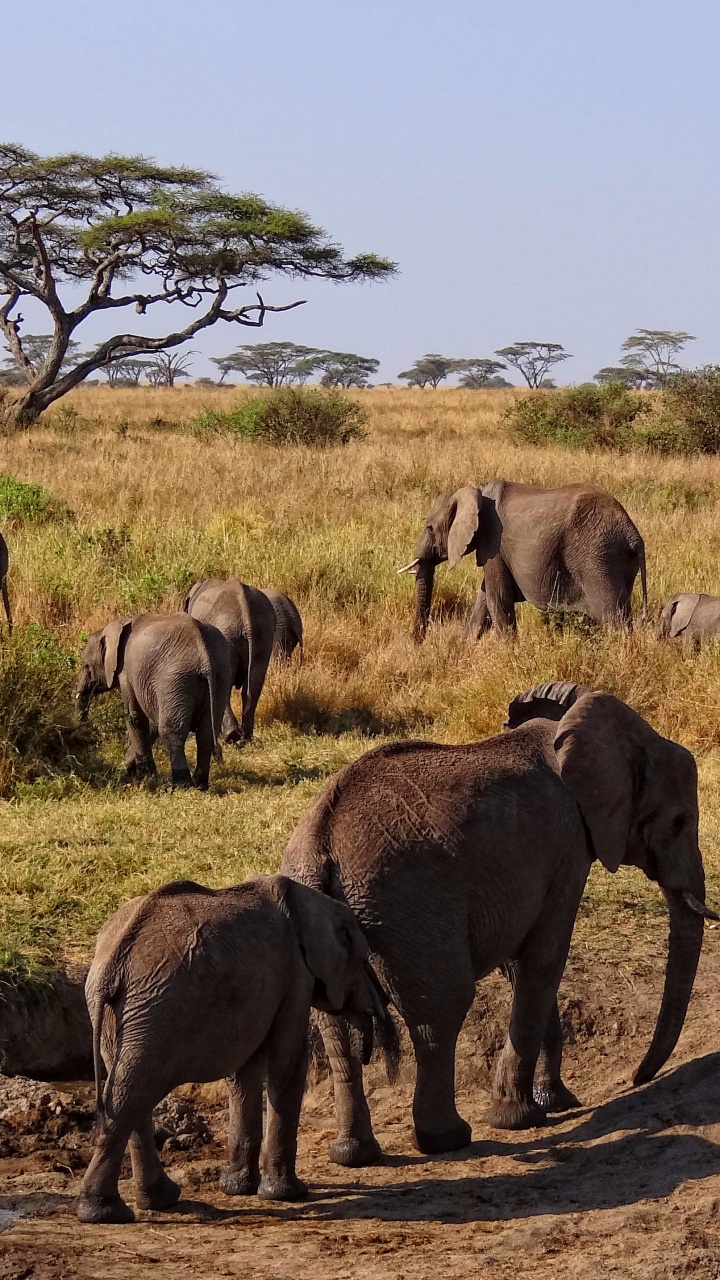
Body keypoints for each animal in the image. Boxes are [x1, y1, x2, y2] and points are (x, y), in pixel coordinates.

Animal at [75, 612, 233, 789]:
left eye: (86, 666)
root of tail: (205, 657)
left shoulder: (126, 673)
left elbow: (136, 718)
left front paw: (143, 777)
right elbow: (151, 723)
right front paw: (132, 768)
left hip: (174, 680)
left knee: (172, 731)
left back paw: (181, 785)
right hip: (221, 675)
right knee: (206, 732)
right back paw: (200, 785)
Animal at [76, 875, 396, 1224]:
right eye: (363, 960)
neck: (314, 902)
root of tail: (112, 965)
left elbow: (245, 1073)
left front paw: (237, 1188)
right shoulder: (296, 973)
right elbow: (287, 1064)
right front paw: (288, 1194)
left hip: (122, 1014)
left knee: (129, 1093)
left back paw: (156, 1200)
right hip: (155, 1009)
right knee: (131, 1094)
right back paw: (106, 1213)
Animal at [280, 682, 716, 1164]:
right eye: (678, 822)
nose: (638, 1079)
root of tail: (318, 848)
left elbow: (520, 964)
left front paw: (554, 1102)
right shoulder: (568, 846)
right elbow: (544, 960)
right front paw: (519, 1118)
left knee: (336, 1029)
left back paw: (354, 1154)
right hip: (410, 914)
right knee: (441, 1011)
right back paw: (448, 1138)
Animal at [398, 481, 647, 641]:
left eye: (429, 527)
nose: (418, 643)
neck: (475, 492)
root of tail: (632, 533)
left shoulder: (493, 543)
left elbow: (498, 599)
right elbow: (484, 600)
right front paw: (464, 653)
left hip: (597, 556)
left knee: (613, 616)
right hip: (618, 559)